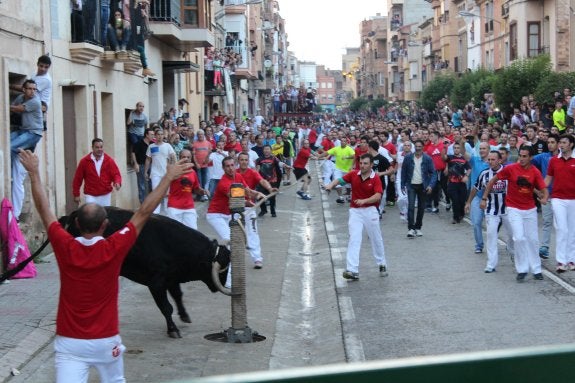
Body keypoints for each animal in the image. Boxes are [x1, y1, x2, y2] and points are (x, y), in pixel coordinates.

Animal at [58, 207, 230, 340]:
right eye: (223, 268)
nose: (220, 285)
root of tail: (74, 214)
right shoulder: (156, 284)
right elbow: (166, 307)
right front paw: (173, 330)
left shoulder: (172, 278)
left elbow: (178, 295)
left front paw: (184, 315)